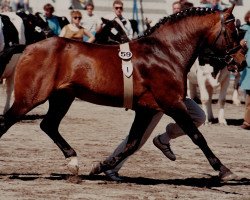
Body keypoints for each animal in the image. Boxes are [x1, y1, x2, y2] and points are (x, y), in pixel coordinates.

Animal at [0, 5, 246, 181]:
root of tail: (29, 46)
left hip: (63, 98)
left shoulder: (147, 110)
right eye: (233, 31)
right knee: (8, 121)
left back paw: (73, 161)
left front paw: (101, 166)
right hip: (30, 98)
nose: (241, 61)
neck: (165, 52)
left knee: (48, 125)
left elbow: (132, 143)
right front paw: (224, 169)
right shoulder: (173, 104)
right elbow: (197, 135)